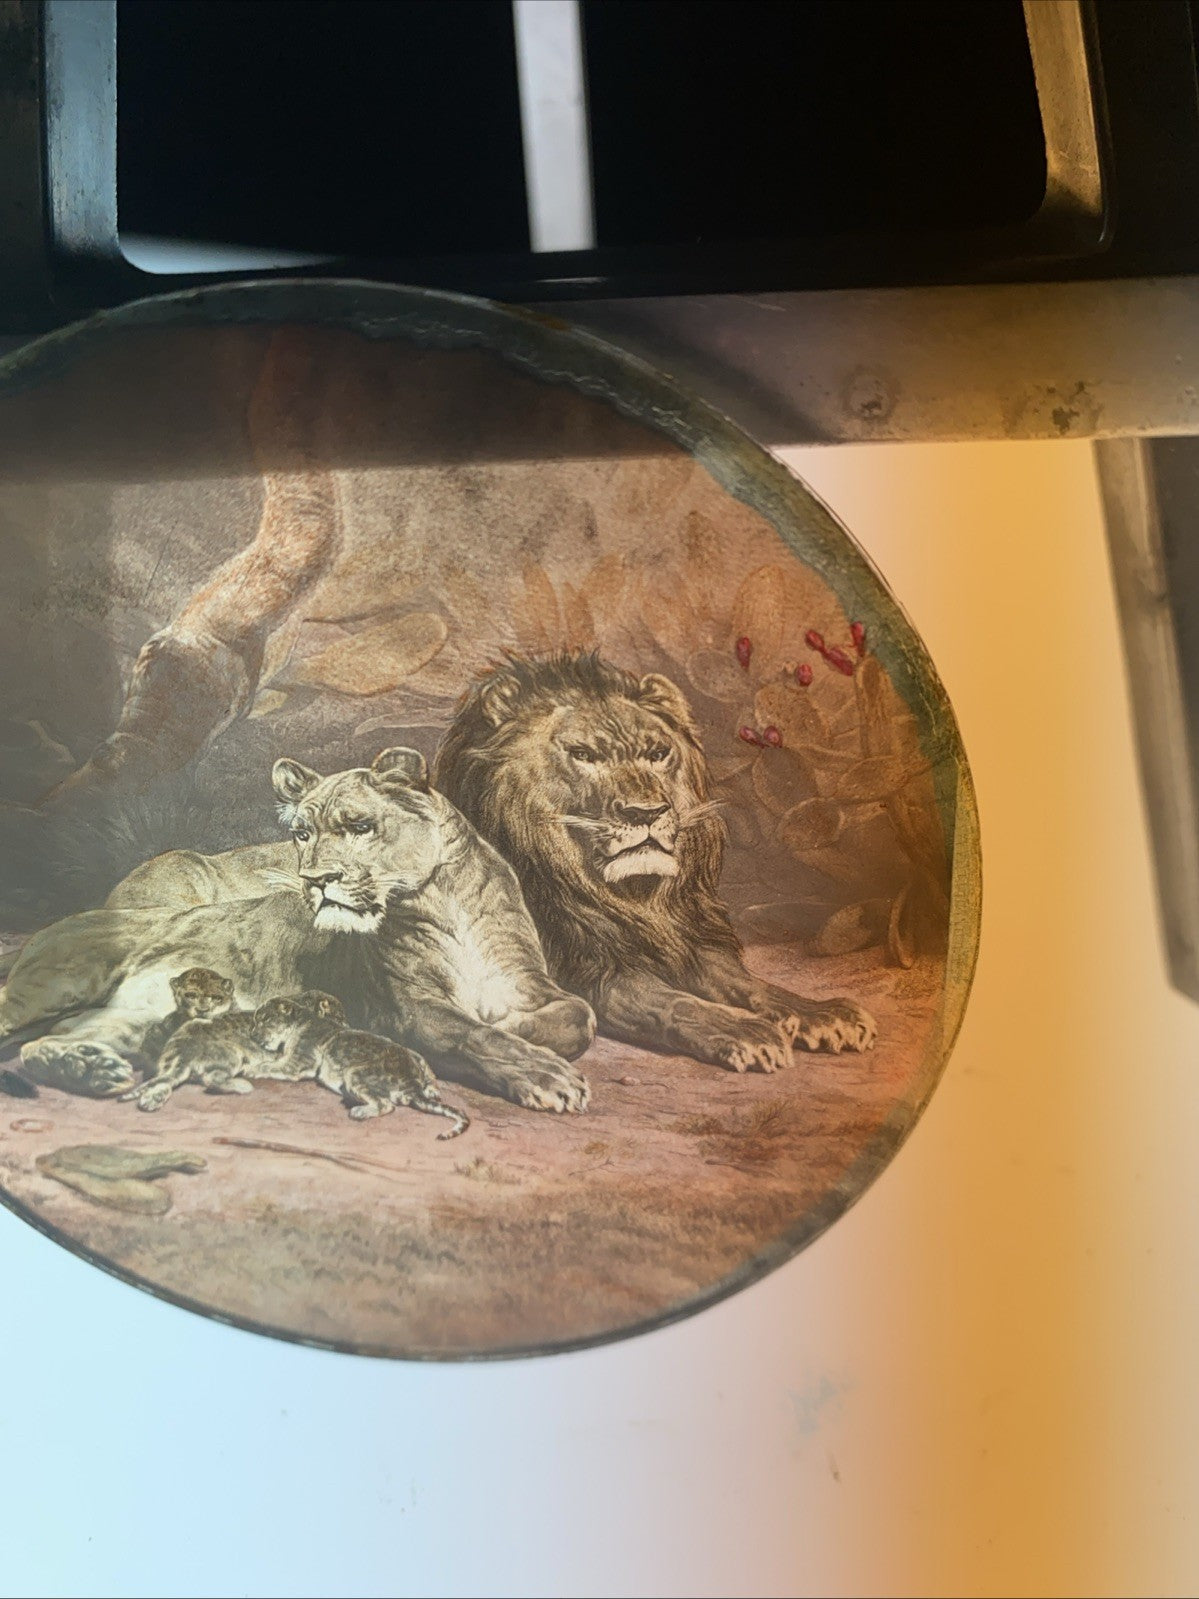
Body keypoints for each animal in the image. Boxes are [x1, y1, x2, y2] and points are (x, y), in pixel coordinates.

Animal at [0, 749, 593, 1112]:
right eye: (302, 834)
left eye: (359, 826)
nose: (314, 880)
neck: (447, 901)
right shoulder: (408, 1006)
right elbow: (475, 1034)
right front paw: (545, 1076)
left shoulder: (529, 983)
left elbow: (579, 1018)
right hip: (56, 983)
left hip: (128, 1016)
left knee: (55, 1041)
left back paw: (90, 1068)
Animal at [433, 652, 876, 1073]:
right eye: (583, 755)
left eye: (658, 753)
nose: (645, 812)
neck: (633, 897)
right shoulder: (588, 971)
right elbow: (673, 1002)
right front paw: (743, 1030)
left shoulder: (691, 944)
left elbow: (753, 985)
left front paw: (822, 1013)